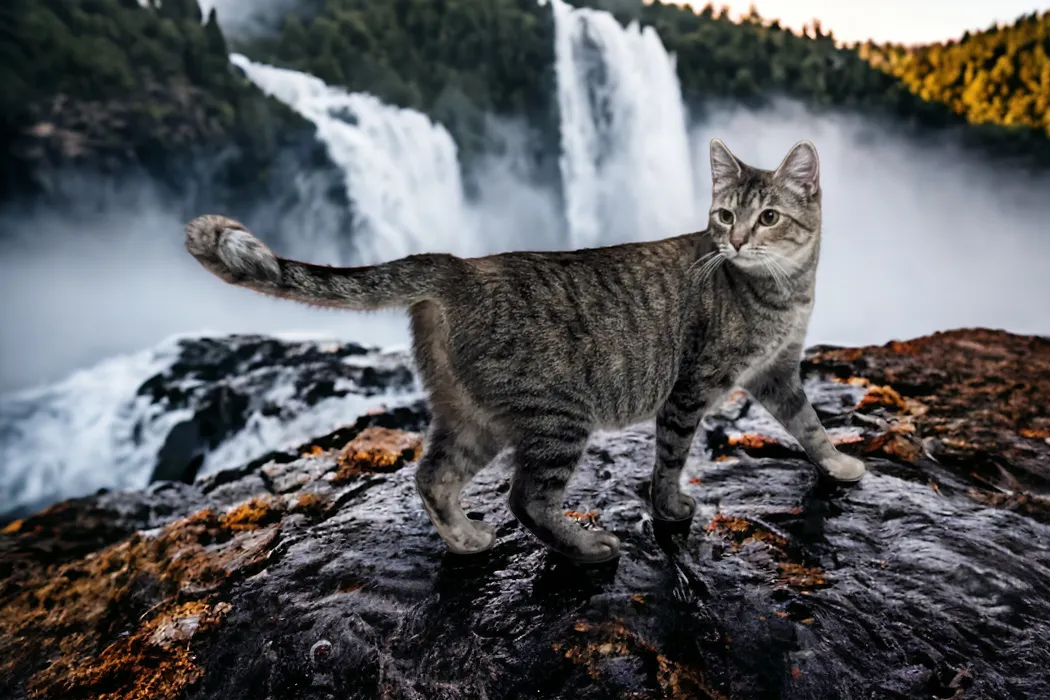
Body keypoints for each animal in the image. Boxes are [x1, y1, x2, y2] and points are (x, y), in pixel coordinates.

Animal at [184, 139, 865, 566]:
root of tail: (457, 266)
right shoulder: (691, 389)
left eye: (769, 216)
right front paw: (670, 510)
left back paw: (465, 540)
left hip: (473, 417)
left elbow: (812, 425)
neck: (781, 290)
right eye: (724, 216)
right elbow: (670, 461)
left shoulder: (780, 372)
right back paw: (587, 550)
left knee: (431, 476)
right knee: (527, 498)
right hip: (558, 415)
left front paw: (839, 466)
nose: (739, 240)